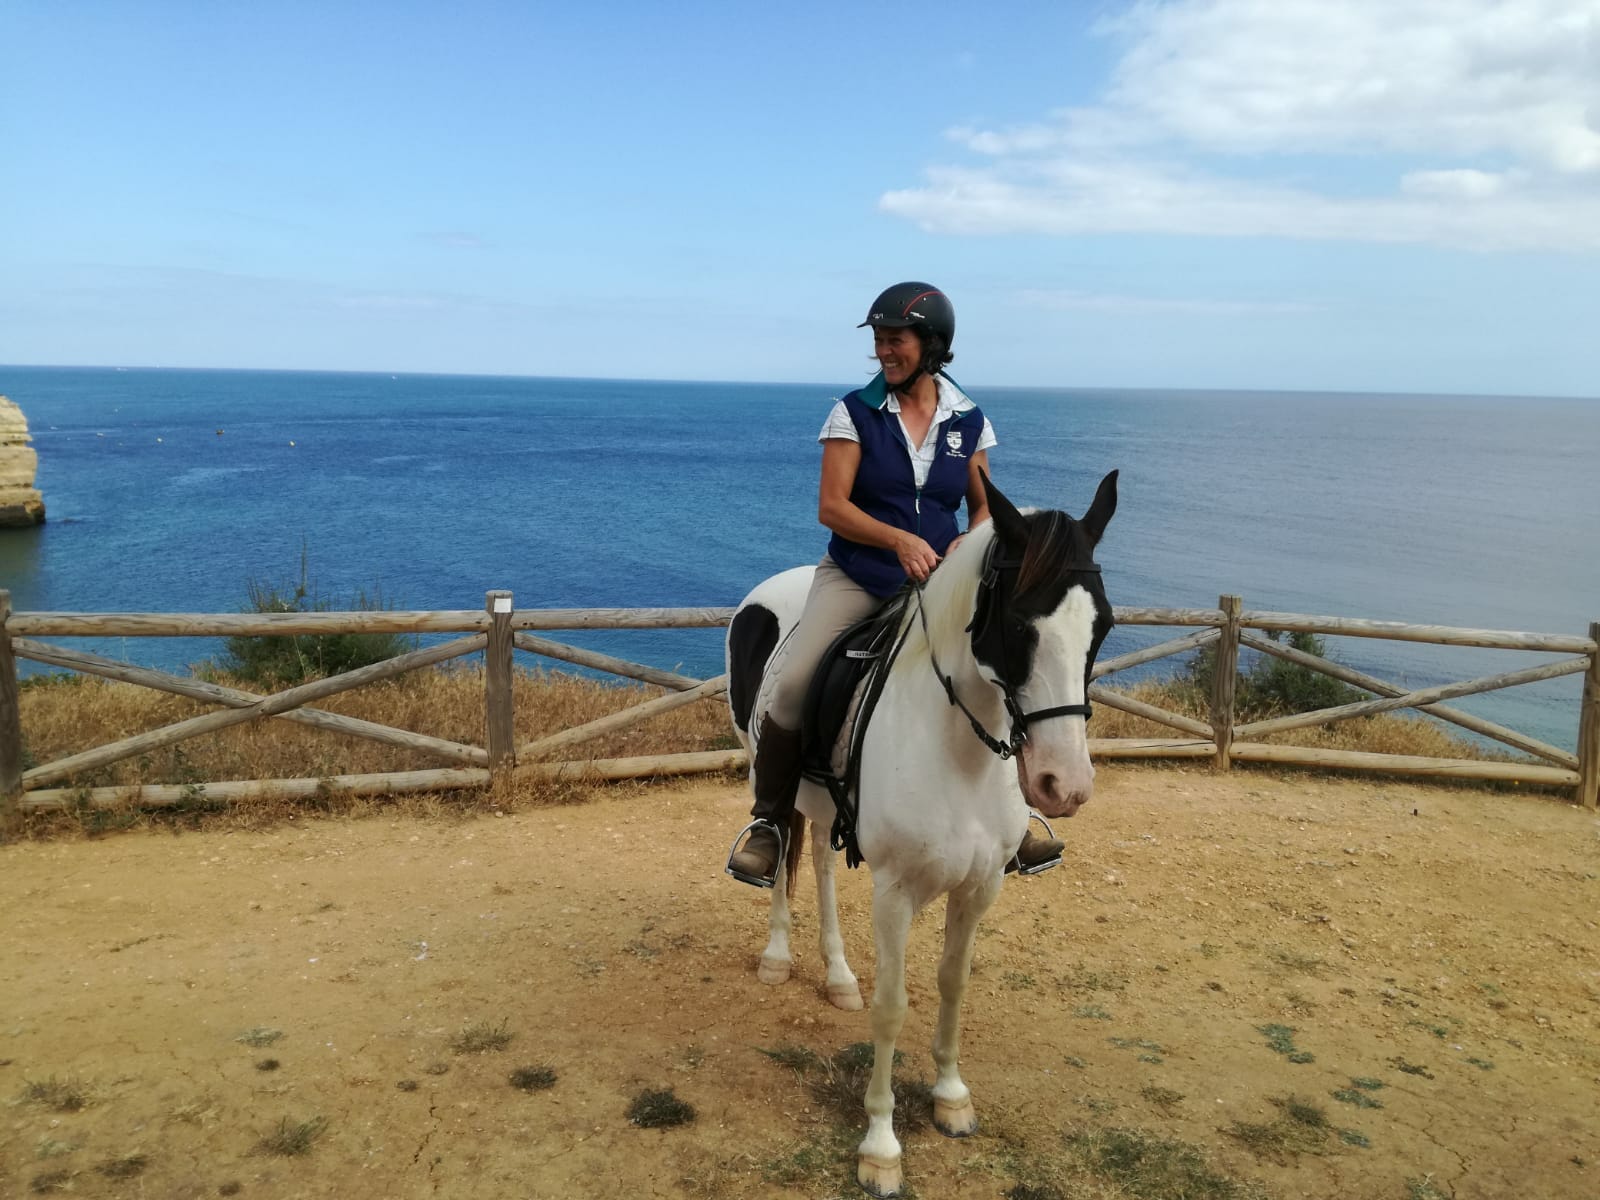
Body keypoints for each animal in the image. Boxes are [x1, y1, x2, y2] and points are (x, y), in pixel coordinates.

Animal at [726, 473, 1113, 1200]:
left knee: (817, 859)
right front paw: (880, 1149)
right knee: (782, 847)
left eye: (1103, 626)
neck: (958, 747)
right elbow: (891, 1006)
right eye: (1018, 625)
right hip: (774, 771)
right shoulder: (895, 893)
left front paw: (952, 1096)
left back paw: (837, 974)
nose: (1065, 785)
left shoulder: (981, 887)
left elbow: (953, 984)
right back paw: (777, 955)